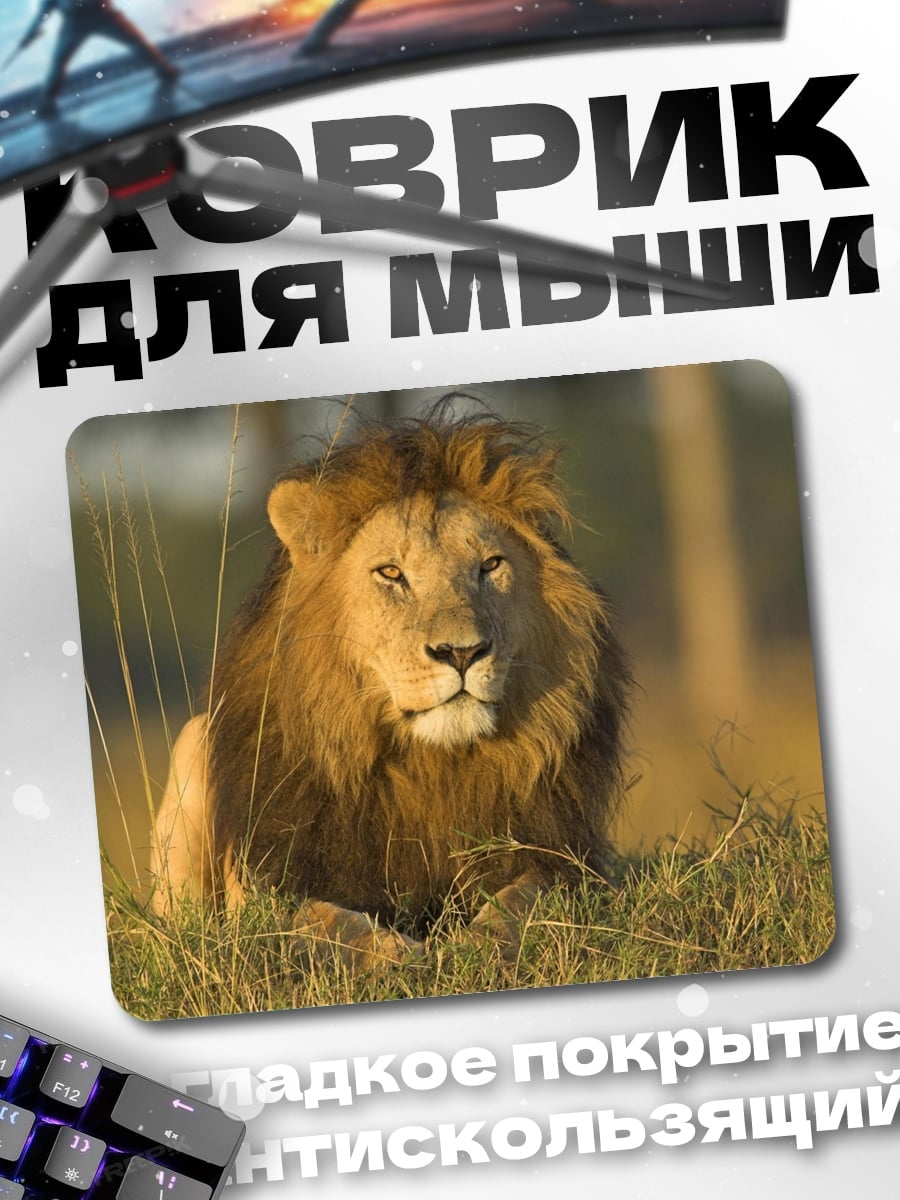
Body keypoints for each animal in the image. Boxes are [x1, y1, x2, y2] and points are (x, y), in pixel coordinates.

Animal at [150, 408, 631, 970]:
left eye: (490, 565)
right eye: (391, 573)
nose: (462, 653)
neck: (431, 767)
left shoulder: (563, 858)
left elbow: (523, 899)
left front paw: (479, 946)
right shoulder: (274, 878)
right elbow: (324, 919)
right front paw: (395, 956)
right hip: (193, 745)